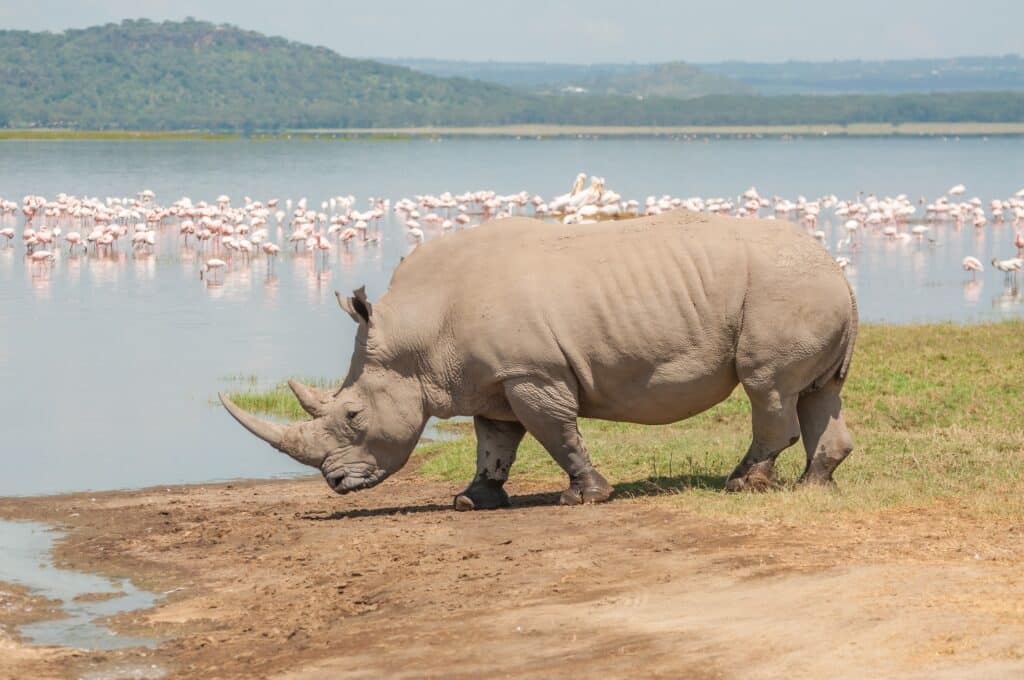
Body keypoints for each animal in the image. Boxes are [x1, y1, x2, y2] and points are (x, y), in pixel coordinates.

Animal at [222, 209, 856, 507]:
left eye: (353, 416)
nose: (334, 483)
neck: (418, 335)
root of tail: (837, 269)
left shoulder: (531, 372)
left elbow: (556, 431)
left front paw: (586, 496)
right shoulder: (490, 378)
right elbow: (494, 442)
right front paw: (470, 501)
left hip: (785, 291)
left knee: (767, 388)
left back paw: (741, 486)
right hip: (805, 290)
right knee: (816, 392)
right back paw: (813, 487)